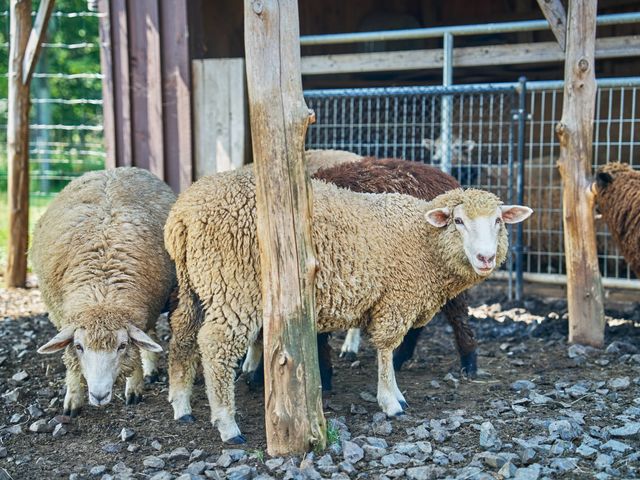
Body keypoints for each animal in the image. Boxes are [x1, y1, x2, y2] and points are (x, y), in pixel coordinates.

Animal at [33, 167, 176, 416]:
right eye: (79, 346)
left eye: (121, 346)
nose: (99, 396)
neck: (102, 294)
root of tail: (115, 169)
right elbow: (71, 362)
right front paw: (73, 399)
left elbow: (135, 353)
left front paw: (134, 388)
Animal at [165, 167, 532, 443]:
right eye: (458, 221)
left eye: (498, 221)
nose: (485, 258)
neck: (422, 239)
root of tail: (183, 214)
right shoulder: (395, 298)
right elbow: (385, 349)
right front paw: (391, 400)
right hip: (233, 285)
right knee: (215, 346)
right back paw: (227, 424)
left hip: (195, 284)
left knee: (182, 334)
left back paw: (181, 405)